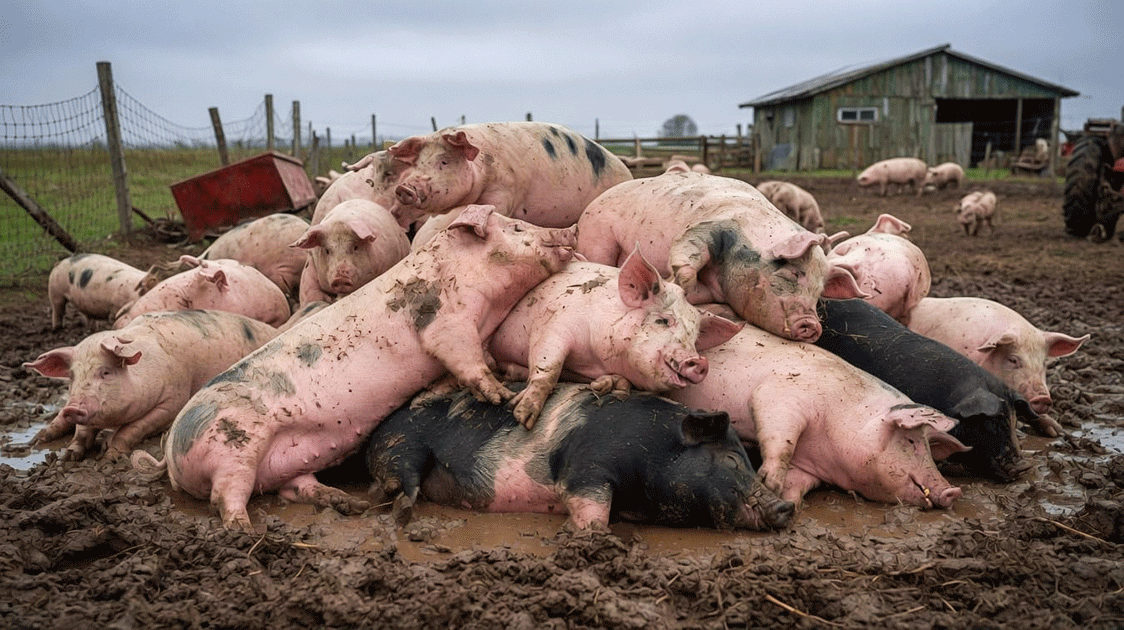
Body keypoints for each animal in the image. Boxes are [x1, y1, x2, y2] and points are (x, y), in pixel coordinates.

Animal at [24, 309, 277, 460]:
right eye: (72, 376)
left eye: (105, 372)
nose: (72, 407)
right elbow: (82, 432)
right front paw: (67, 457)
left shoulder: (172, 401)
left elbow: (132, 429)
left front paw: (109, 456)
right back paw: (36, 441)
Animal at [366, 382, 795, 531]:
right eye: (732, 462)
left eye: (750, 464)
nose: (787, 506)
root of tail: (379, 429)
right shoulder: (588, 463)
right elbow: (590, 504)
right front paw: (587, 535)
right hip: (404, 446)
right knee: (400, 484)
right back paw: (401, 515)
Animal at [488, 248, 743, 428]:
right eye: (663, 321)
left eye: (694, 337)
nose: (700, 362)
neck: (595, 360)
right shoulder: (556, 324)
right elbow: (548, 366)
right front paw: (522, 416)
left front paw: (603, 386)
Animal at [575, 171, 866, 342]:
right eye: (792, 273)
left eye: (818, 292)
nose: (812, 325)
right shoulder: (708, 228)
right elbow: (687, 259)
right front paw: (675, 284)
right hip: (599, 236)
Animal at [669, 325, 969, 509]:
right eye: (911, 442)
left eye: (928, 446)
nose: (953, 491)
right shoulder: (780, 394)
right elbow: (782, 441)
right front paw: (768, 480)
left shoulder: (810, 470)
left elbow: (797, 483)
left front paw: (786, 499)